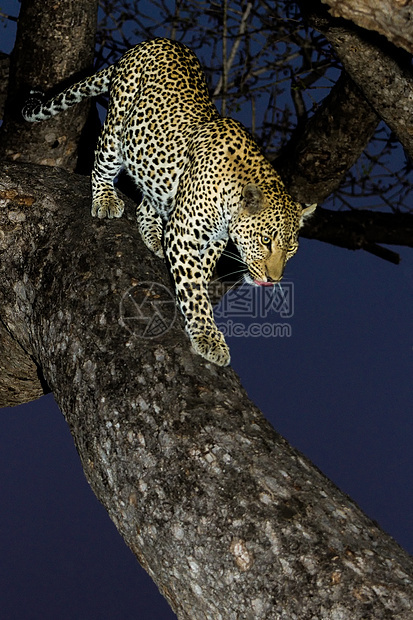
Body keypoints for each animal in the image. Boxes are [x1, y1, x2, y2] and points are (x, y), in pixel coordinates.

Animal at [22, 36, 314, 366]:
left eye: (291, 249)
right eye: (265, 240)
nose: (273, 279)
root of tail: (153, 42)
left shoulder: (213, 239)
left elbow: (201, 273)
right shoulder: (184, 232)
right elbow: (195, 291)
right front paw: (208, 338)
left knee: (147, 203)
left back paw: (152, 234)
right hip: (117, 128)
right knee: (101, 162)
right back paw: (106, 199)